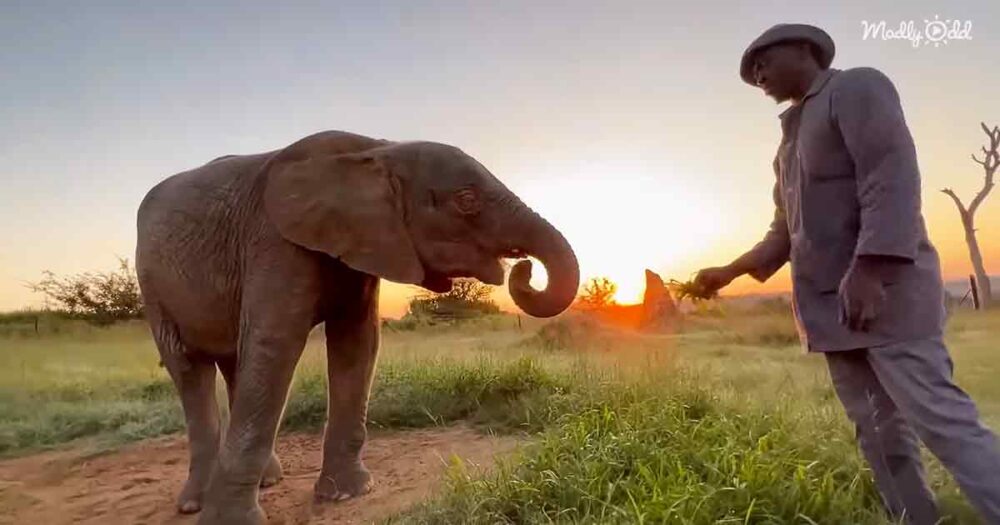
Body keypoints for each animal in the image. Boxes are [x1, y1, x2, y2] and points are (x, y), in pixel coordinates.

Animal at [134, 130, 579, 524]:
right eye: (466, 201)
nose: (523, 269)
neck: (377, 150)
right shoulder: (275, 241)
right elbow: (275, 345)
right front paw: (232, 522)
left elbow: (357, 344)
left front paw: (347, 494)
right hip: (152, 284)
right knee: (189, 369)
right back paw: (195, 503)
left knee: (232, 364)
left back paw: (267, 482)